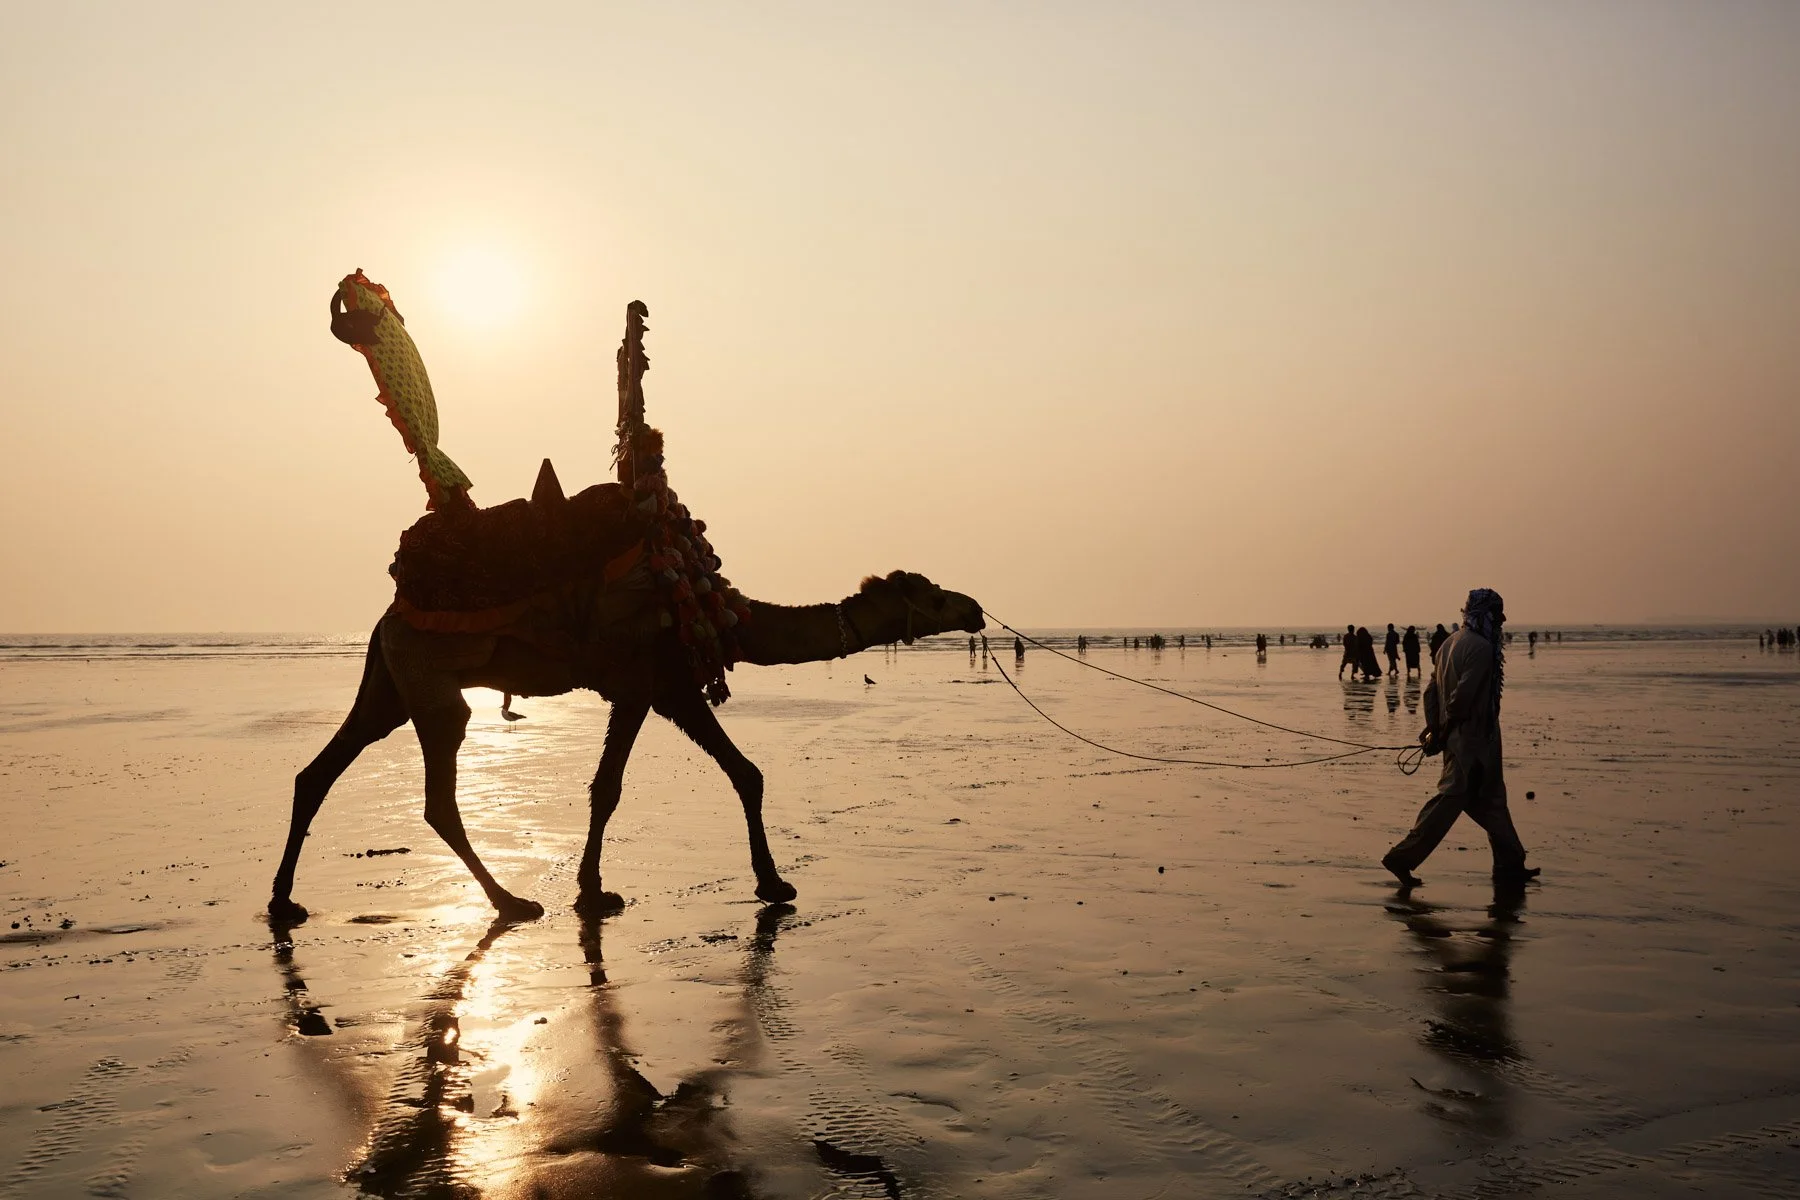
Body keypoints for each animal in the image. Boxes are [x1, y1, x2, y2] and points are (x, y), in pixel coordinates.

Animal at [268, 568, 984, 925]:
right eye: (931, 593)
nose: (975, 608)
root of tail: (386, 617)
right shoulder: (649, 683)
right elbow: (612, 787)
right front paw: (593, 892)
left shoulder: (664, 689)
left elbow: (742, 772)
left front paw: (771, 883)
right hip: (431, 680)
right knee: (437, 793)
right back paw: (512, 902)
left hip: (389, 684)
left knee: (317, 772)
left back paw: (283, 900)